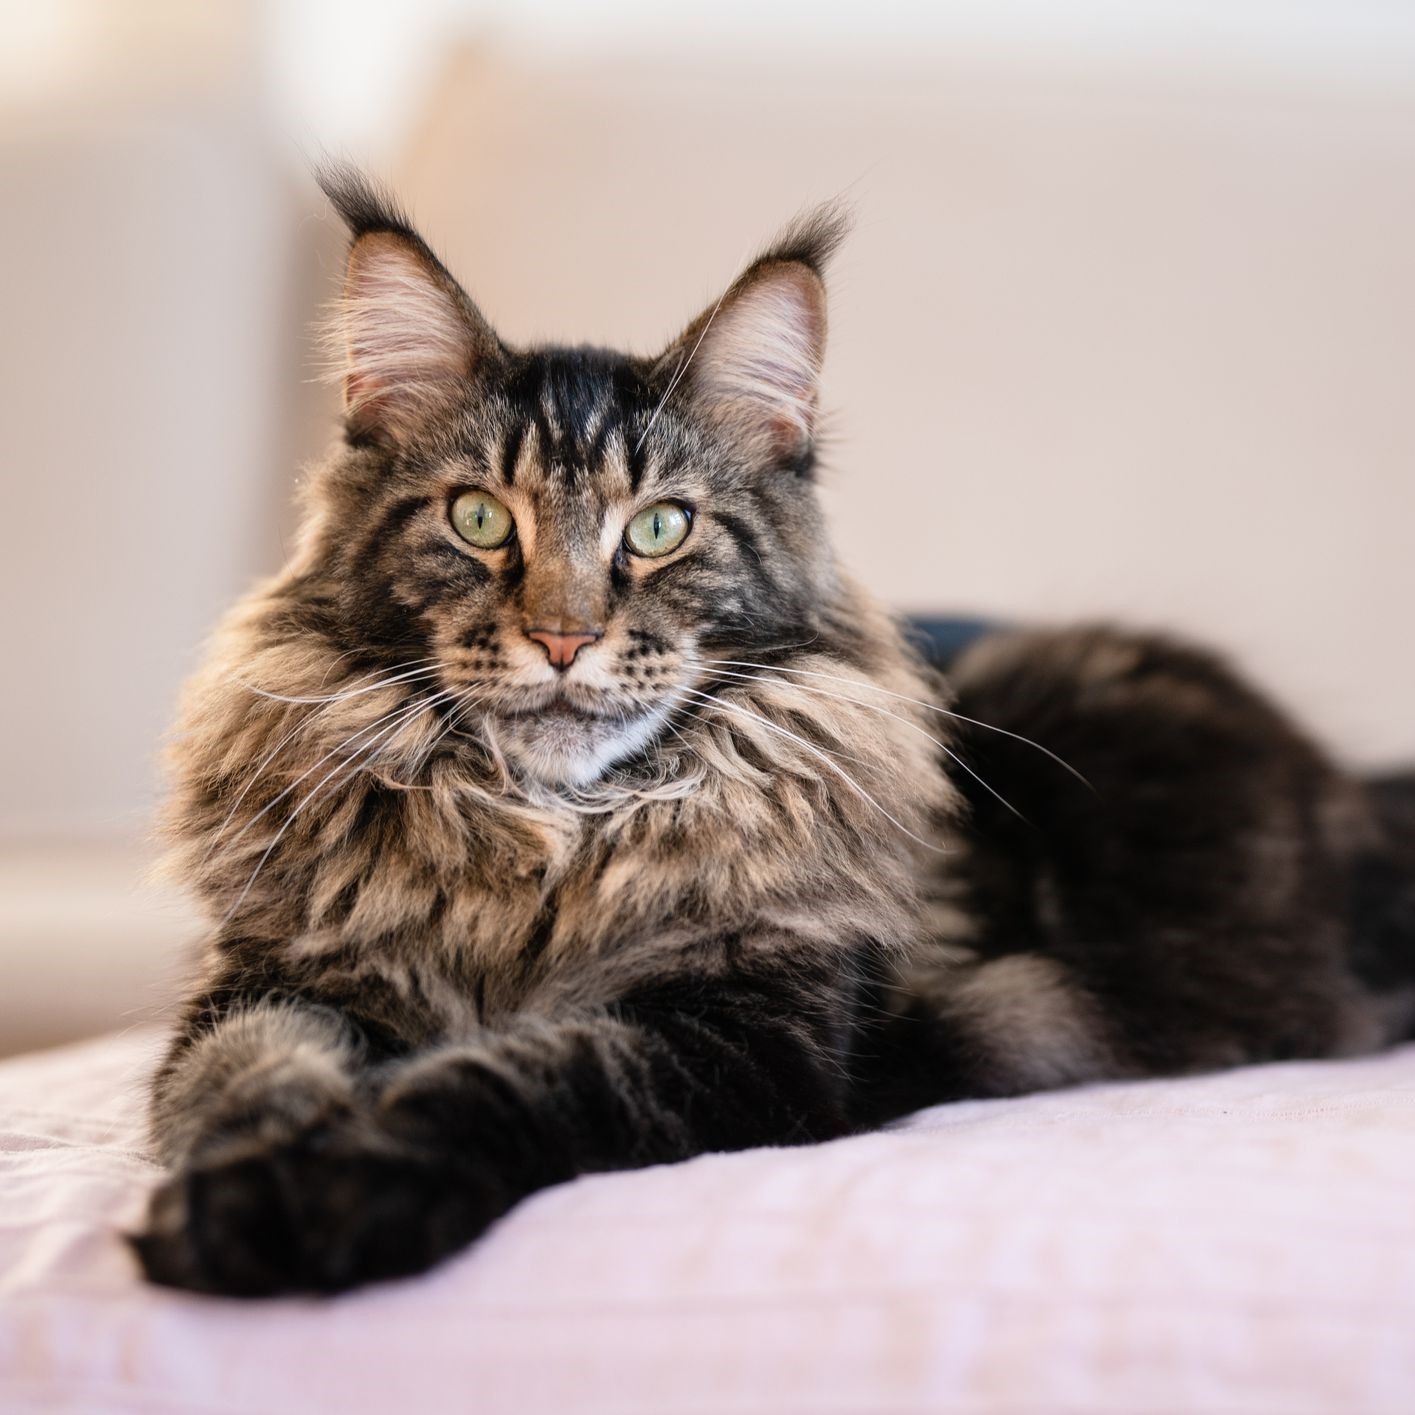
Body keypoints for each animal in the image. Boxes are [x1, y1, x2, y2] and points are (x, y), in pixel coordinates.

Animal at [133, 165, 1415, 1296]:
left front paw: (344, 1189)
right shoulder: (271, 980)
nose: (562, 636)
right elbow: (239, 1076)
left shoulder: (746, 1034)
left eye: (659, 528)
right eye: (478, 517)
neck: (545, 842)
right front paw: (242, 1180)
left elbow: (510, 1081)